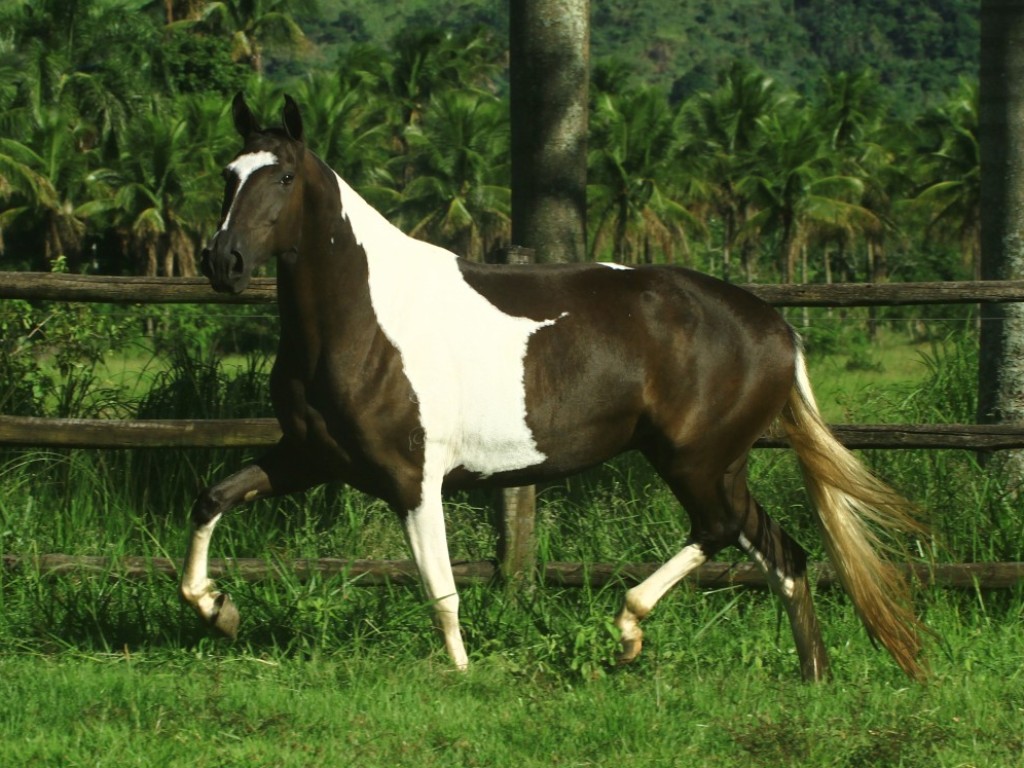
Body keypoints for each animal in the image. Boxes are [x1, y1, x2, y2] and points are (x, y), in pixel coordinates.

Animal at [183, 93, 928, 681]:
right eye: (228, 174)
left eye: (282, 175)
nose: (223, 261)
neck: (367, 319)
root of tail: (776, 325)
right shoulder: (309, 456)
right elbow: (213, 497)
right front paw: (217, 609)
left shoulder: (412, 479)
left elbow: (441, 589)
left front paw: (464, 673)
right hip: (723, 466)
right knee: (784, 555)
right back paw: (813, 676)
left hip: (694, 460)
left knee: (718, 532)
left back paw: (628, 630)